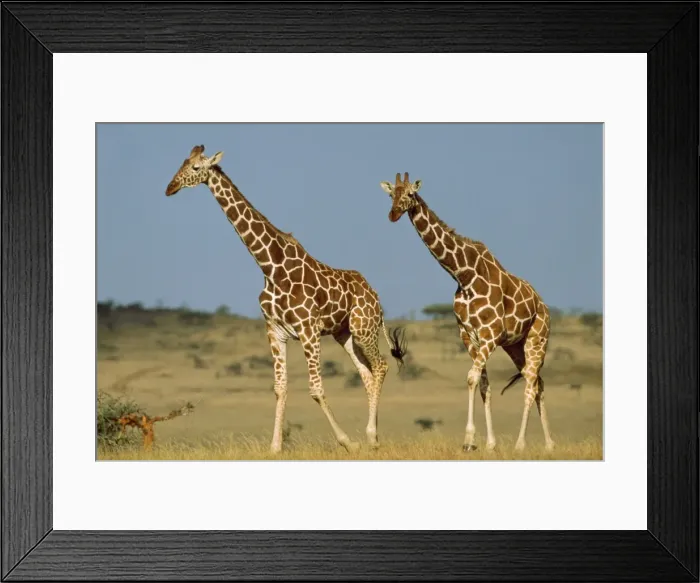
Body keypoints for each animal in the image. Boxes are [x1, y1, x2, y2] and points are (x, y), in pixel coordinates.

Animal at [165, 145, 408, 453]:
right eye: (182, 163)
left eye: (196, 168)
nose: (170, 188)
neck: (270, 267)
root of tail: (375, 297)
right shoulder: (275, 331)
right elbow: (280, 388)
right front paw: (275, 447)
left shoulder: (308, 330)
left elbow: (316, 389)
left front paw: (347, 442)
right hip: (345, 334)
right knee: (367, 373)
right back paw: (370, 437)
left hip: (364, 328)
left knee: (381, 366)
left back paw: (371, 437)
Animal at [379, 173, 554, 452]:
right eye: (390, 195)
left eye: (409, 194)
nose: (393, 214)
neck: (464, 274)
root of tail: (544, 306)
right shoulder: (468, 334)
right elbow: (482, 383)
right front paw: (489, 443)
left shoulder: (490, 333)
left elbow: (472, 377)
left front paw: (469, 439)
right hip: (515, 345)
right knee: (538, 381)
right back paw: (549, 444)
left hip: (537, 339)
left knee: (530, 383)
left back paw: (520, 444)